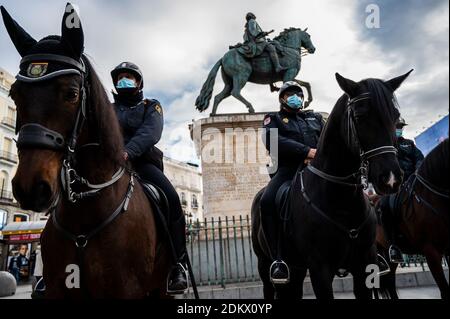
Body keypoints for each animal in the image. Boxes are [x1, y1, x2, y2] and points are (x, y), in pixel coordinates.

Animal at [251, 70, 414, 300]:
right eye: (359, 117)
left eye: (395, 116)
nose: (391, 178)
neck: (342, 201)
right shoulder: (320, 270)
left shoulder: (364, 265)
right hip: (265, 264)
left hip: (297, 269)